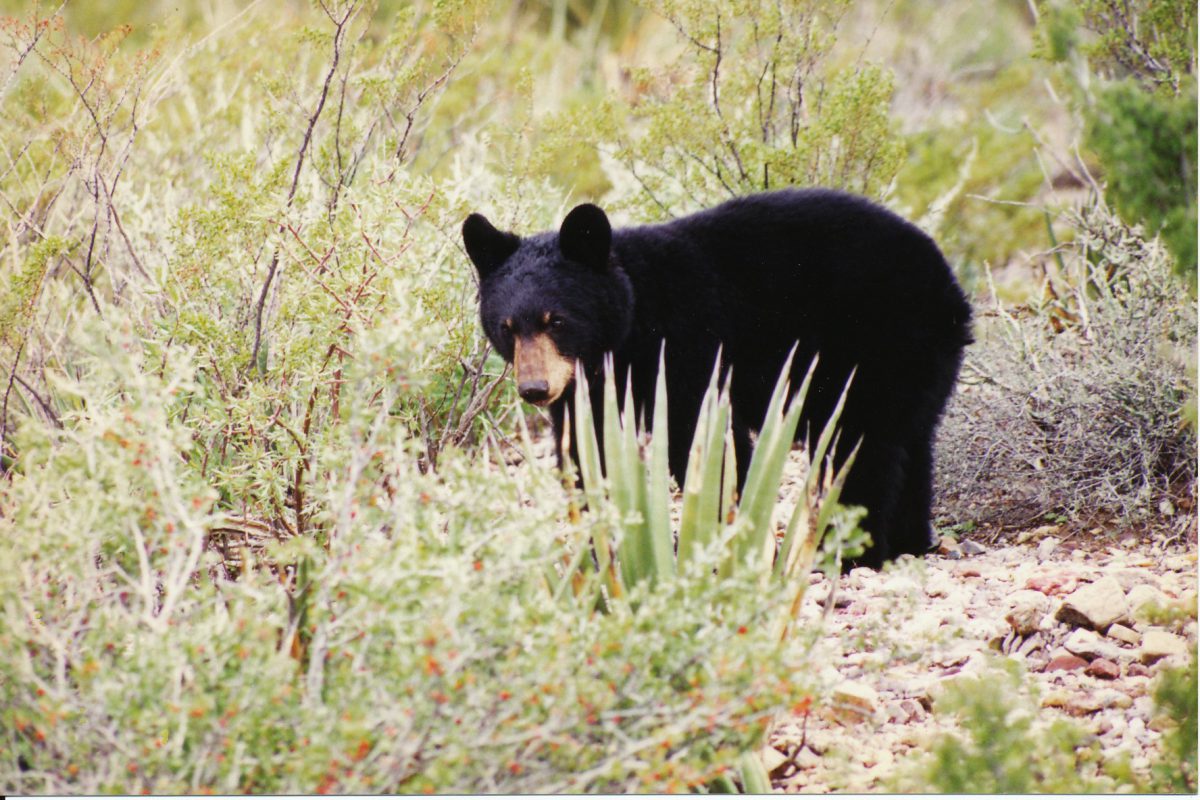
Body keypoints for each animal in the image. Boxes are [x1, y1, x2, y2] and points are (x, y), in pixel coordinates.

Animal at [460, 189, 974, 568]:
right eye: (507, 327)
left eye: (557, 321)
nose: (534, 389)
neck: (631, 331)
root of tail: (951, 286)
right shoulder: (587, 391)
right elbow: (591, 456)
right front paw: (601, 547)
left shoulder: (691, 347)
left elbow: (712, 441)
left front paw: (723, 537)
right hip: (920, 364)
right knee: (913, 443)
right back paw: (908, 542)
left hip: (876, 344)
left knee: (859, 447)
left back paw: (846, 553)